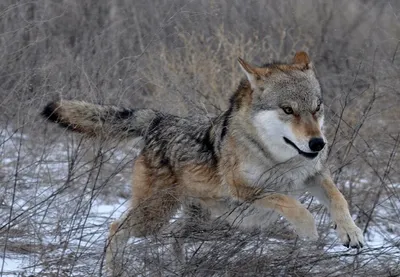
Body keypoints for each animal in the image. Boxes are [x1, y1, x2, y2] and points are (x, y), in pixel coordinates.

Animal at [41, 51, 366, 270]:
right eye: (288, 110)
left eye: (316, 108)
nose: (318, 143)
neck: (279, 160)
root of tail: (159, 119)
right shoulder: (244, 188)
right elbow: (291, 203)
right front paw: (308, 229)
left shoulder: (314, 175)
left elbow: (338, 198)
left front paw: (351, 232)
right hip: (155, 216)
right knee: (114, 229)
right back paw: (114, 270)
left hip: (201, 221)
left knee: (171, 235)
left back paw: (179, 266)